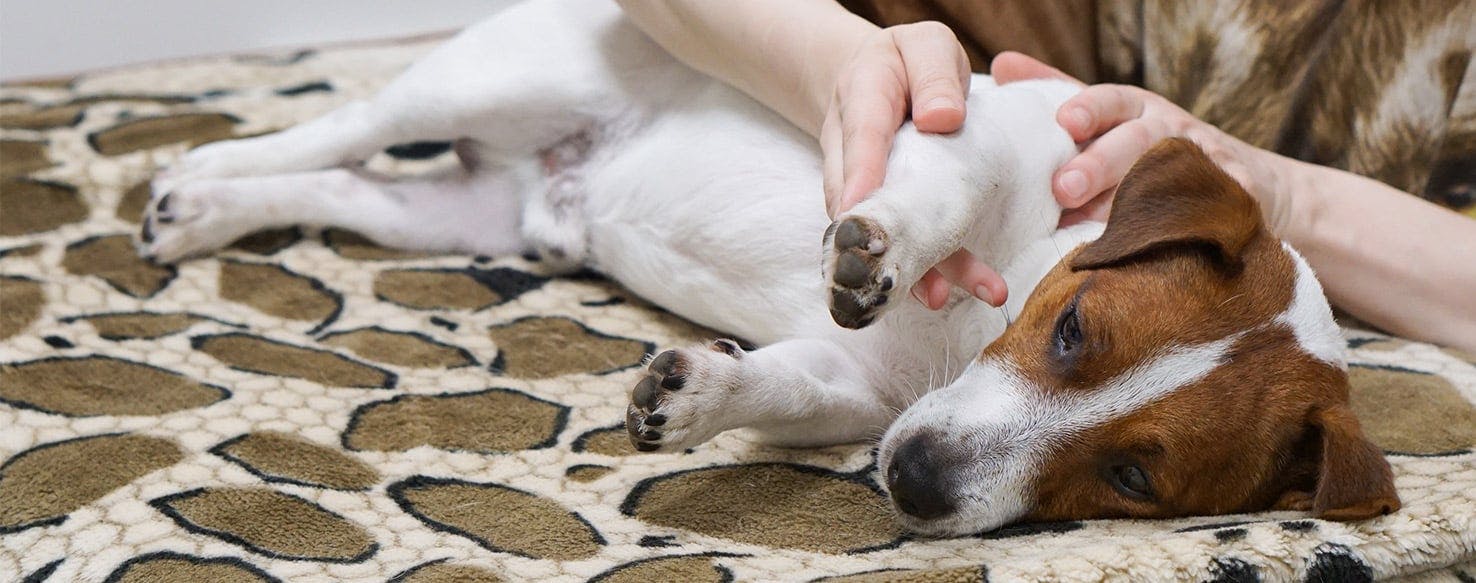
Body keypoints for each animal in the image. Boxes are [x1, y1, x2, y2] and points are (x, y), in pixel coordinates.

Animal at [135, 0, 1393, 540]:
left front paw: (696, 394)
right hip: (483, 85)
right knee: (339, 128)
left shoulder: (863, 395)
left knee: (346, 189)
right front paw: (877, 248)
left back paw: (208, 213)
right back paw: (196, 174)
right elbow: (939, 180)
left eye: (1134, 478)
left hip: (467, 214)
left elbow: (779, 382)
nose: (917, 482)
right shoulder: (969, 121)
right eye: (1075, 327)